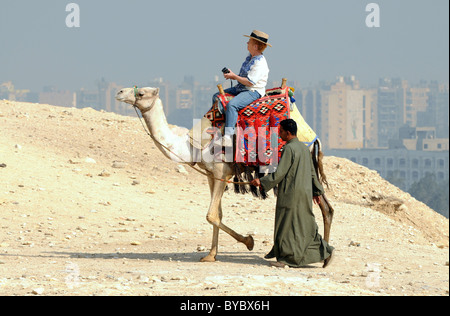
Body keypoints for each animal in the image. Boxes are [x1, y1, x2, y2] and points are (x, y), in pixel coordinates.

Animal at [116, 85, 334, 262]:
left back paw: (320, 256)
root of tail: (314, 138)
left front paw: (249, 241)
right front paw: (211, 255)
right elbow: (218, 215)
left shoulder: (222, 171)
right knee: (326, 207)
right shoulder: (211, 175)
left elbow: (211, 215)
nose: (119, 92)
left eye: (141, 93)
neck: (191, 146)